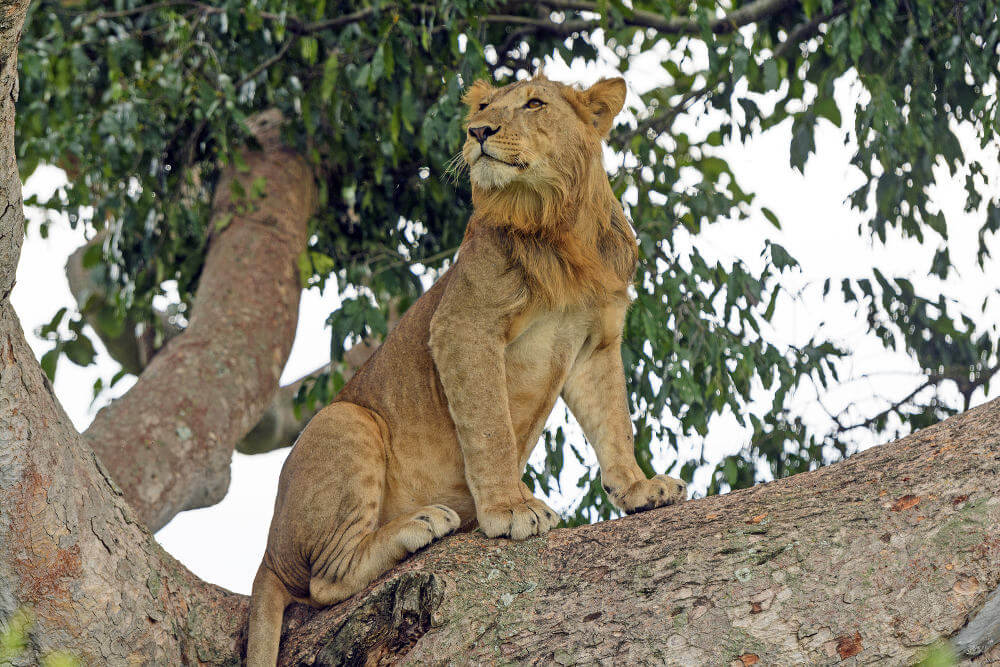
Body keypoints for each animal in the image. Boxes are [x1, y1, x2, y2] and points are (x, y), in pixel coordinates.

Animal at [246, 75, 692, 664]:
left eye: (533, 103)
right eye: (482, 107)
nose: (477, 131)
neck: (557, 222)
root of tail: (267, 557)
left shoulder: (597, 342)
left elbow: (615, 425)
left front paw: (641, 490)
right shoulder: (463, 327)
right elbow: (489, 429)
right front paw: (509, 509)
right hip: (345, 420)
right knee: (323, 581)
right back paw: (420, 524)